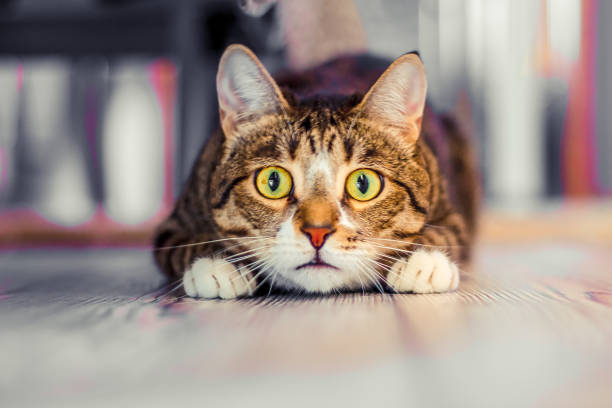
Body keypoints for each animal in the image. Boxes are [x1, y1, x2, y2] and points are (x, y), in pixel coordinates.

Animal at [153, 42, 478, 300]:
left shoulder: (451, 210)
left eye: (363, 184)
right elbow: (186, 244)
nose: (317, 232)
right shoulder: (175, 221)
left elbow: (447, 233)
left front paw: (423, 263)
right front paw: (219, 265)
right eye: (273, 181)